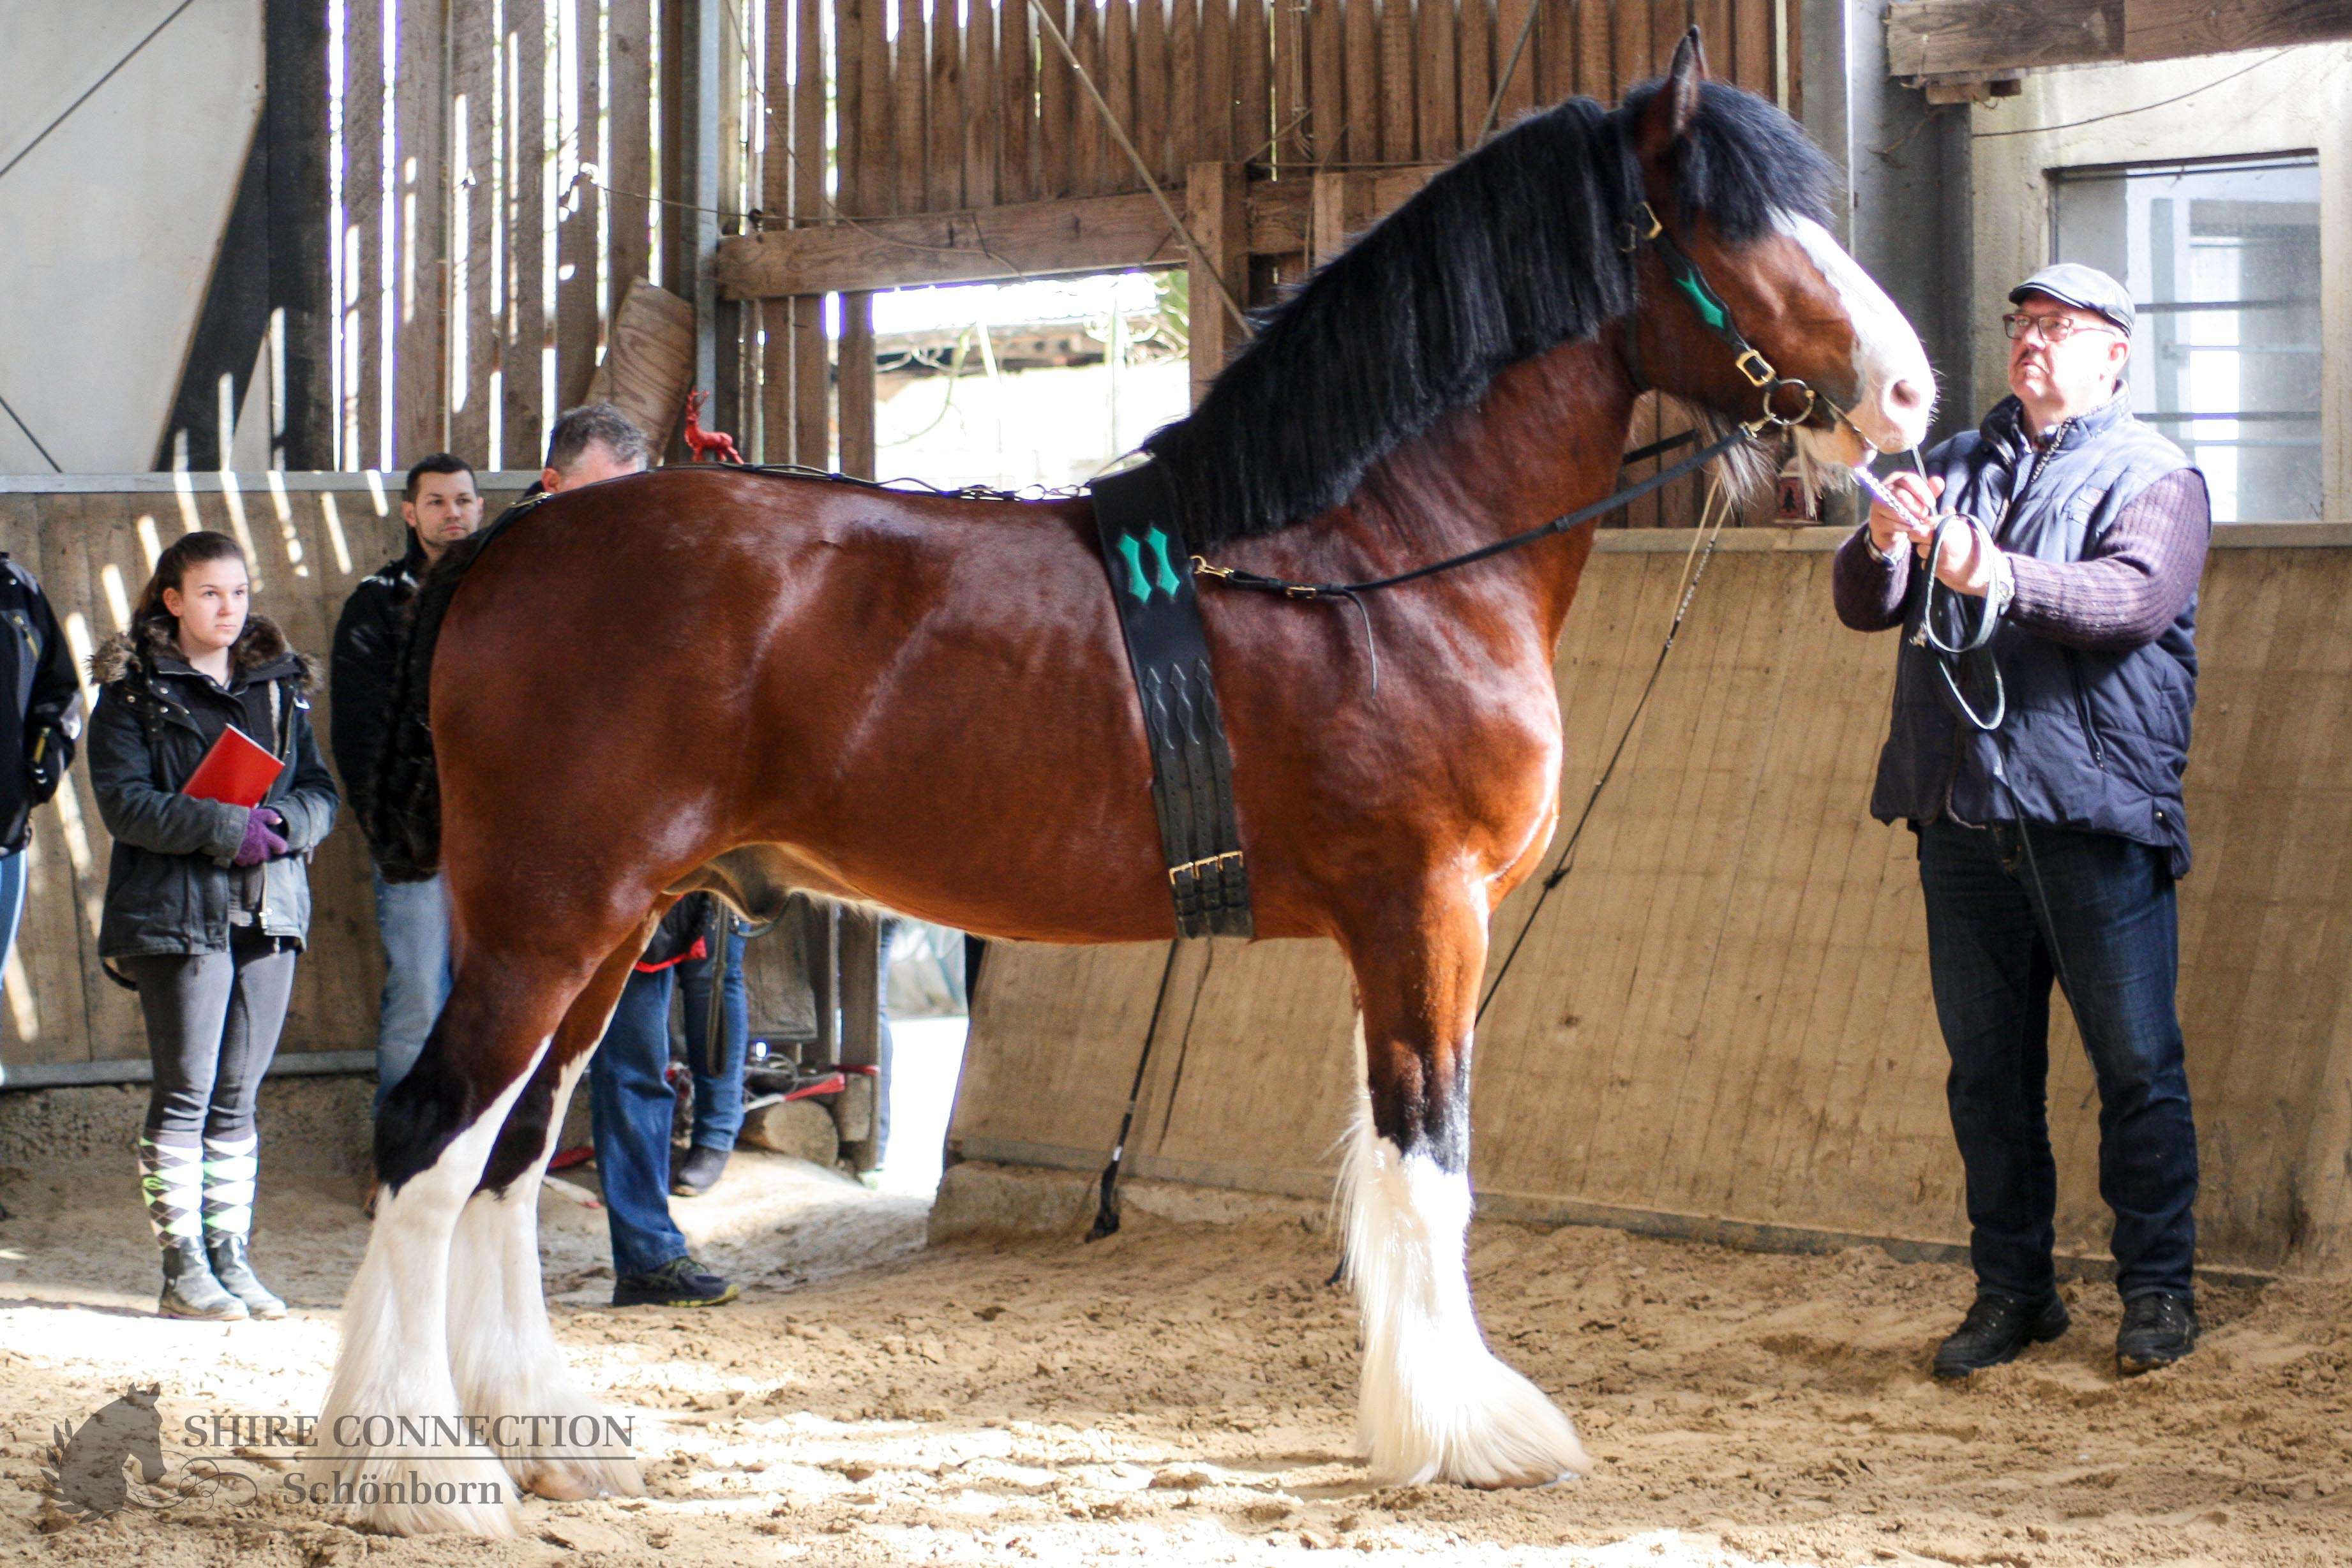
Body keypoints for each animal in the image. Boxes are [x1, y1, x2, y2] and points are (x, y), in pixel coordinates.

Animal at [317, 33, 1928, 1532]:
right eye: (1738, 227)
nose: (1907, 392)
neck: (1368, 555)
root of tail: (500, 549)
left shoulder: (1383, 929)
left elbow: (1383, 1163)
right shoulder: (1429, 911)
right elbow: (1430, 1164)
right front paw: (1468, 1432)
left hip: (616, 930)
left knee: (517, 1153)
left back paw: (545, 1439)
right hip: (549, 919)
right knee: (428, 1139)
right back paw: (419, 1472)